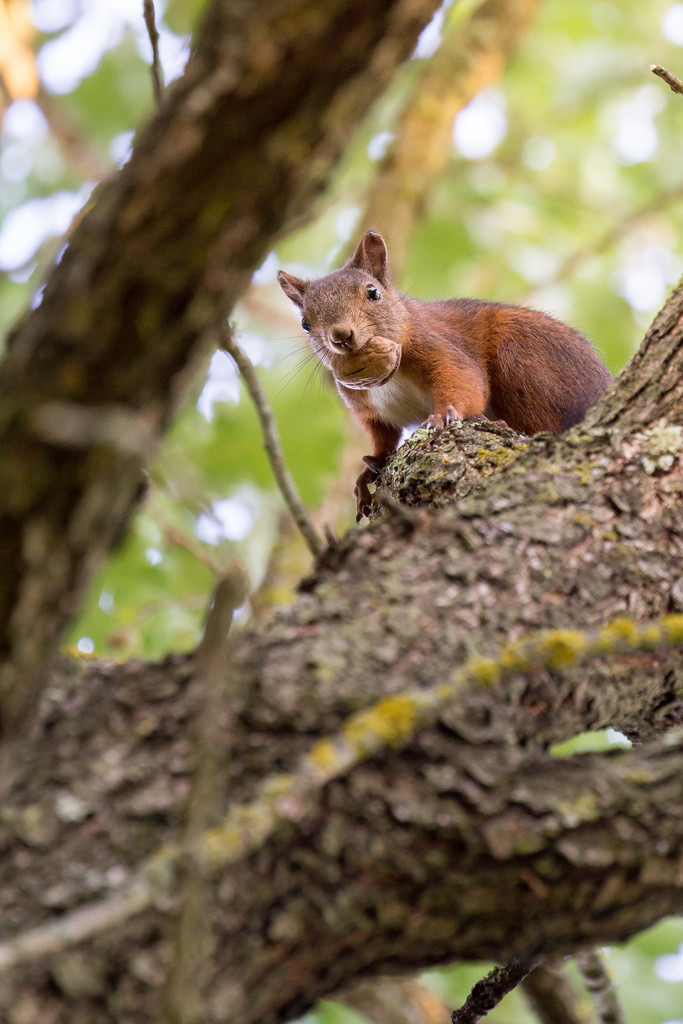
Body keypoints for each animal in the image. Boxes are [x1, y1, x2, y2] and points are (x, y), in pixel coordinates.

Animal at [278, 230, 612, 521]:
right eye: (306, 323)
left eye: (372, 293)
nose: (341, 336)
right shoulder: (367, 406)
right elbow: (383, 437)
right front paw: (368, 471)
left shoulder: (439, 345)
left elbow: (463, 380)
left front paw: (441, 416)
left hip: (522, 354)